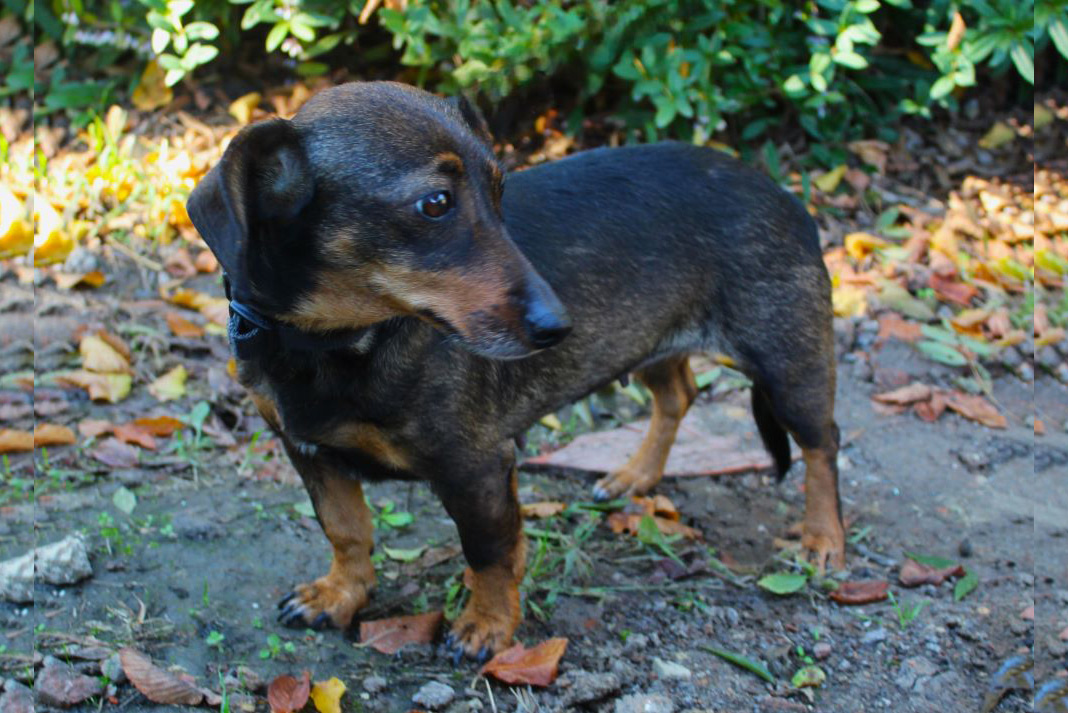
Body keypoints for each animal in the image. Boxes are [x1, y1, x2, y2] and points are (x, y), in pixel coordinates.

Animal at [187, 81, 844, 662]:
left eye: (500, 192)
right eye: (435, 204)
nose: (560, 326)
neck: (336, 344)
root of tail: (783, 195)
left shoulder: (475, 466)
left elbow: (488, 553)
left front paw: (488, 626)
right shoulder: (309, 452)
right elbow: (346, 530)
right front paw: (340, 595)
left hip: (788, 365)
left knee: (822, 445)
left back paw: (822, 539)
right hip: (647, 343)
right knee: (678, 395)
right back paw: (636, 475)